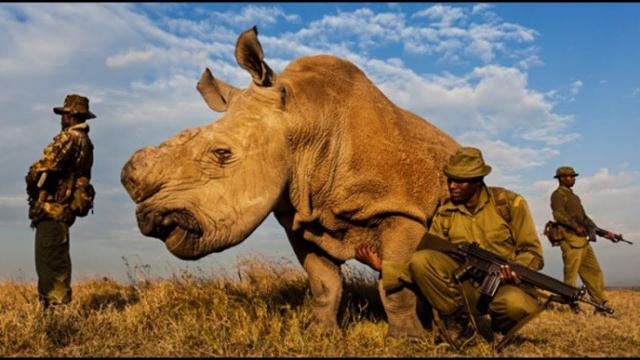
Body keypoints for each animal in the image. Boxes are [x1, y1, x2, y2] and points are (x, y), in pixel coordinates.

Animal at [120, 26, 460, 338]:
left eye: (221, 153)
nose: (150, 219)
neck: (305, 120)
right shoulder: (301, 217)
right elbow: (323, 282)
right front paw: (320, 334)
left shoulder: (402, 209)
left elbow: (394, 285)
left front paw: (407, 340)